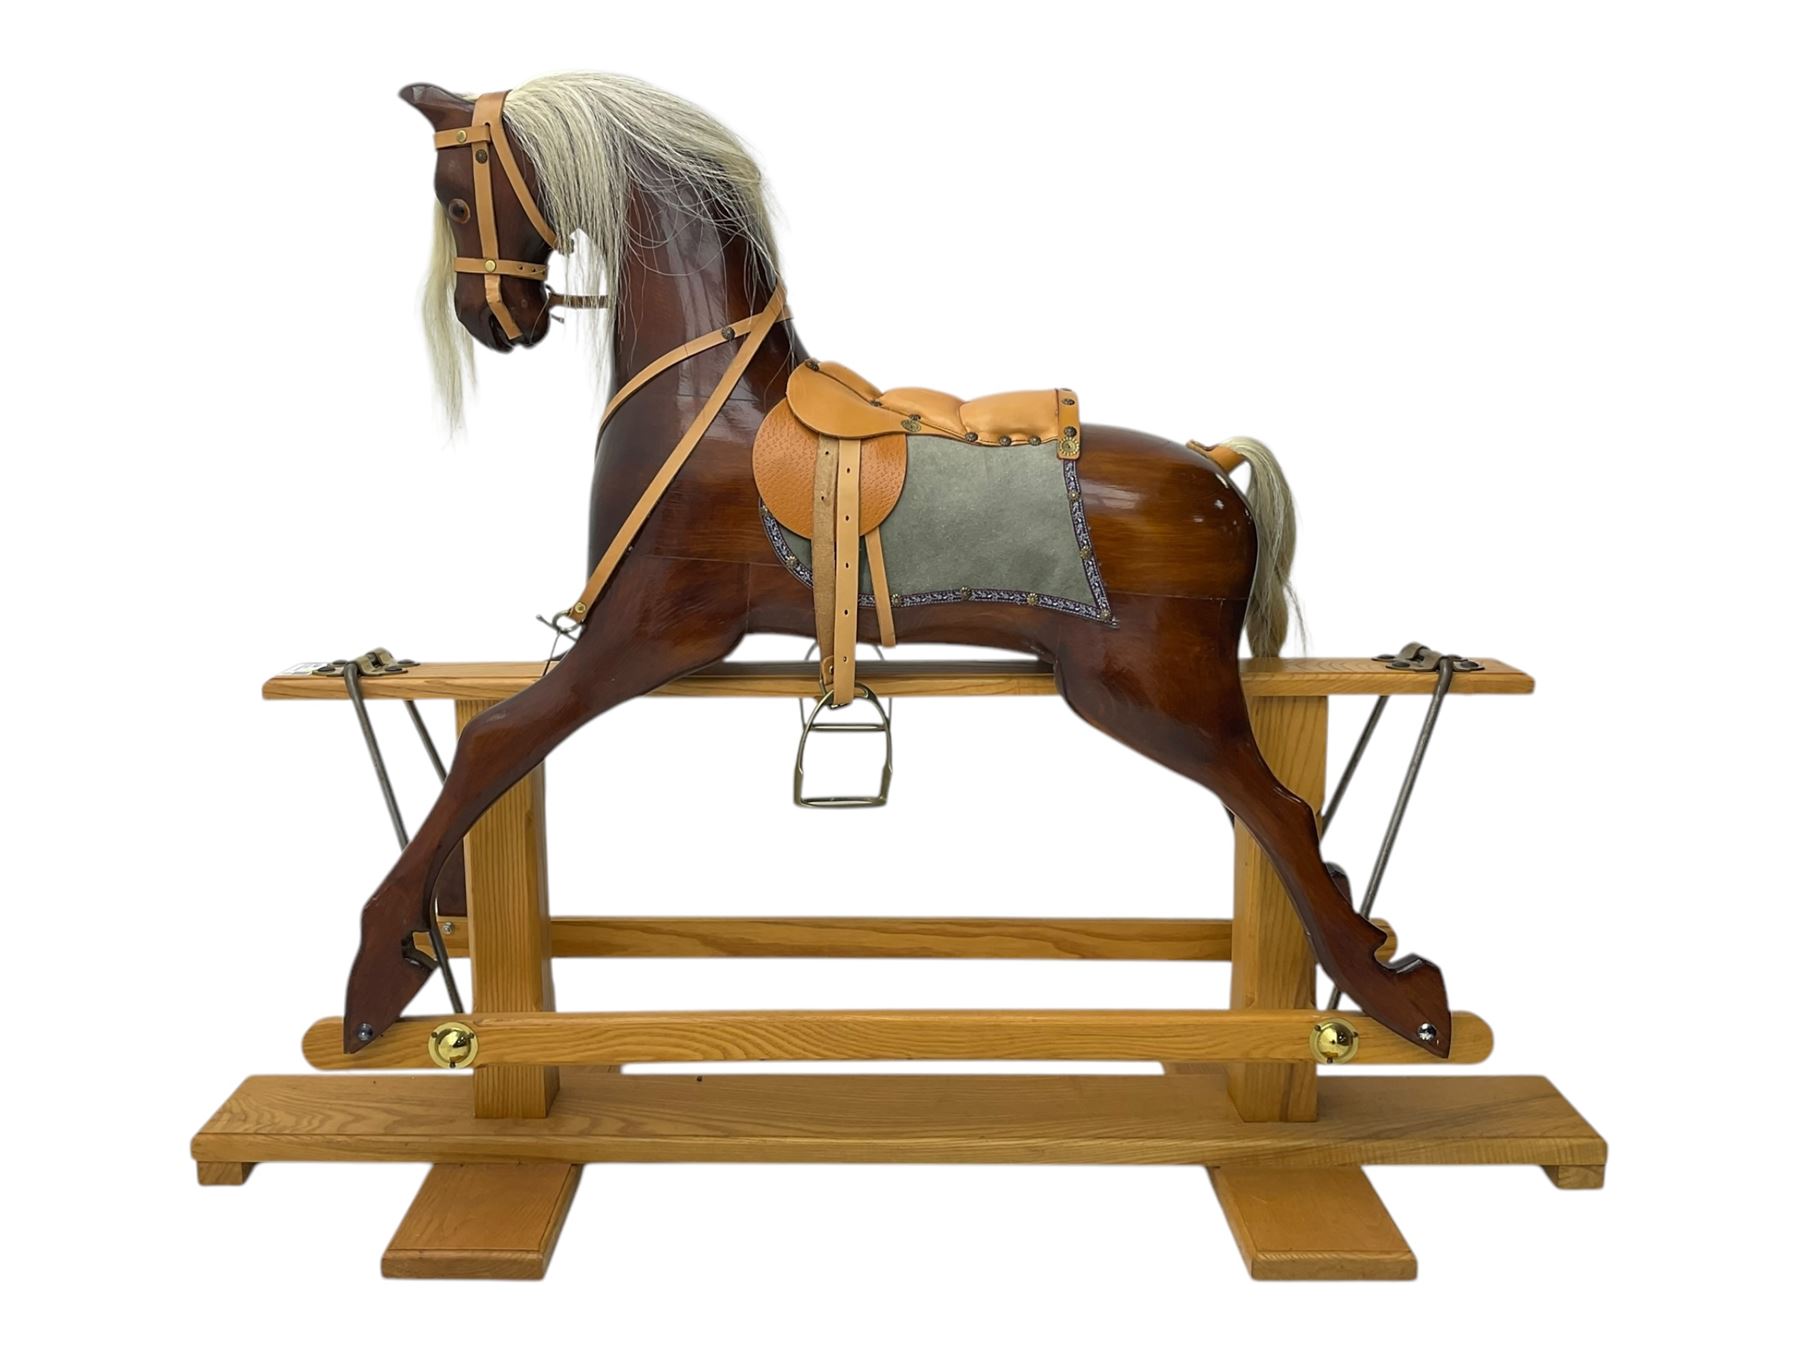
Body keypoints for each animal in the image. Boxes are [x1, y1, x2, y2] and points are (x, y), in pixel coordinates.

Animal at [342, 71, 1452, 1057]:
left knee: (1282, 815)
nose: (494, 322)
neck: (705, 391)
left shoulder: (649, 629)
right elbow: (499, 755)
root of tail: (1216, 467)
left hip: (1154, 693)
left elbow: (495, 743)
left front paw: (382, 964)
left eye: (454, 196)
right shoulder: (642, 640)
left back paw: (1398, 997)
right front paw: (441, 915)